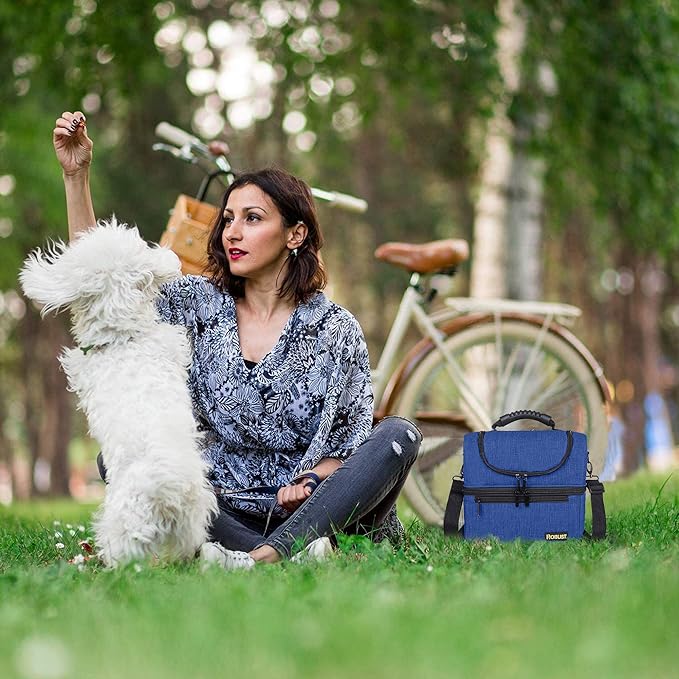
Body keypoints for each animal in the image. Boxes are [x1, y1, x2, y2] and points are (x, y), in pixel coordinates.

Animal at [19, 220, 218, 564]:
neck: (123, 338)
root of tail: (167, 484)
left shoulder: (82, 366)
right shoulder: (169, 345)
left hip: (121, 520)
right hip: (191, 521)